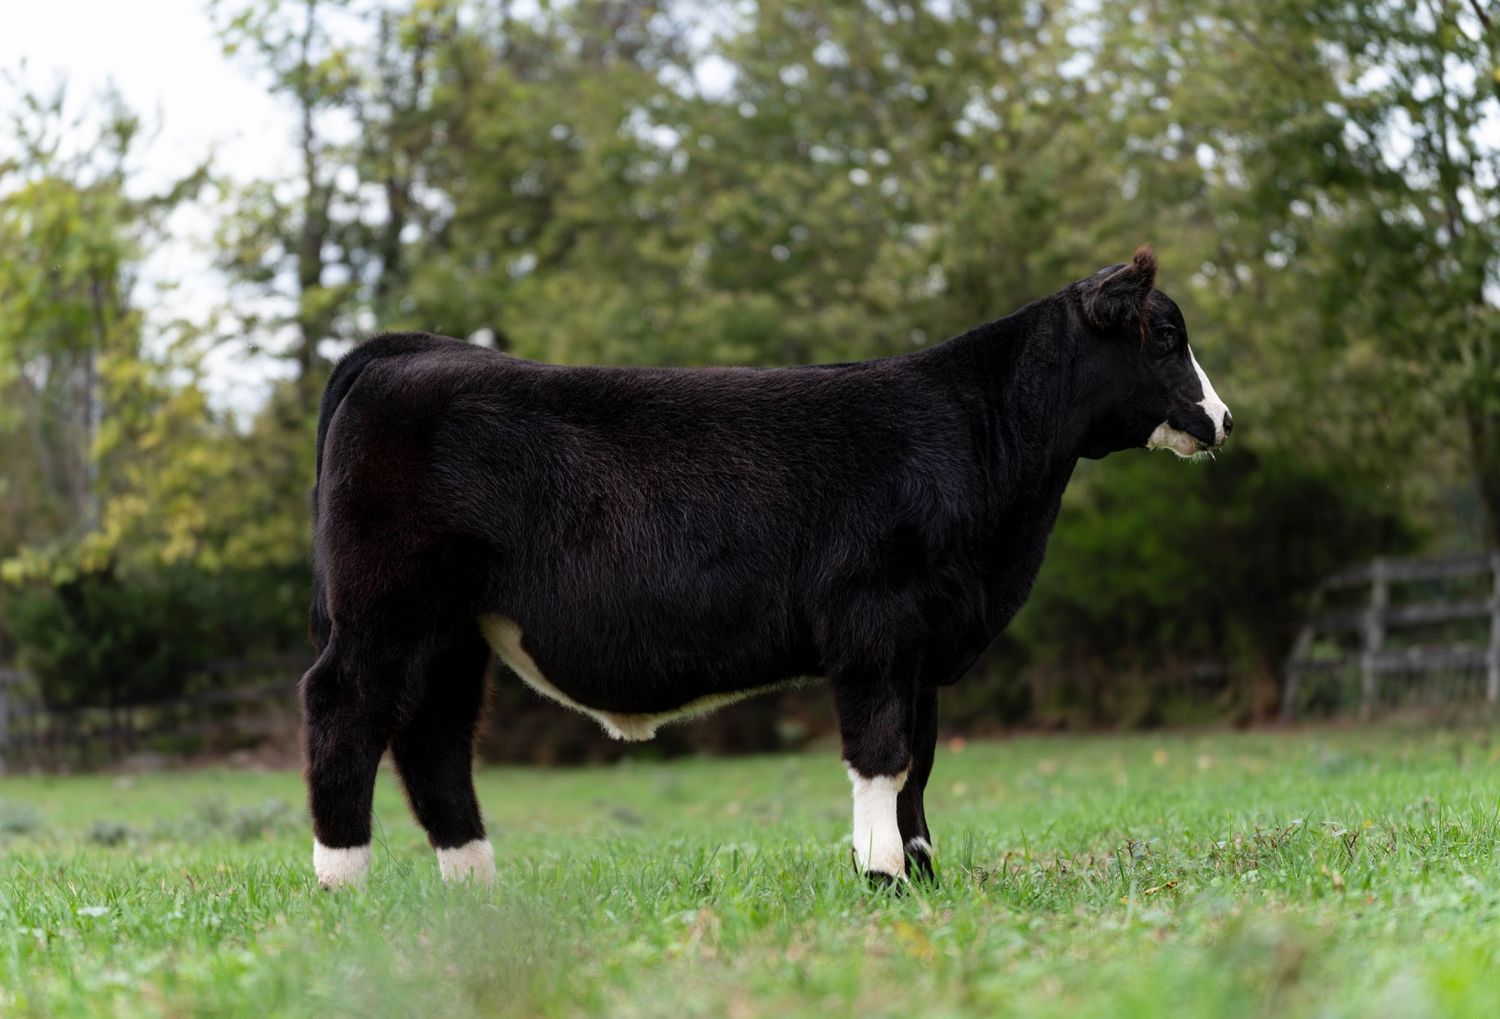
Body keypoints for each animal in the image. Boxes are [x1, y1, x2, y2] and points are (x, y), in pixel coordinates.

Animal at [302, 246, 1231, 890]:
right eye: (1166, 335)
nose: (1222, 418)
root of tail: (410, 350)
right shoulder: (874, 623)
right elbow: (883, 753)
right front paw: (883, 877)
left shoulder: (926, 643)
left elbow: (921, 760)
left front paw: (923, 871)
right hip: (386, 605)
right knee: (344, 709)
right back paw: (343, 881)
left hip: (455, 629)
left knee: (435, 737)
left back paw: (476, 891)